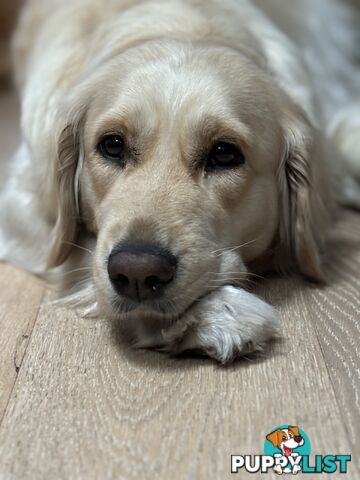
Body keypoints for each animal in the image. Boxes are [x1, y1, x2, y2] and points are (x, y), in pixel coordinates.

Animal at [0, 0, 360, 360]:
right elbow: (82, 252)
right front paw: (219, 313)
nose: (137, 272)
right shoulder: (22, 207)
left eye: (224, 154)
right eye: (112, 145)